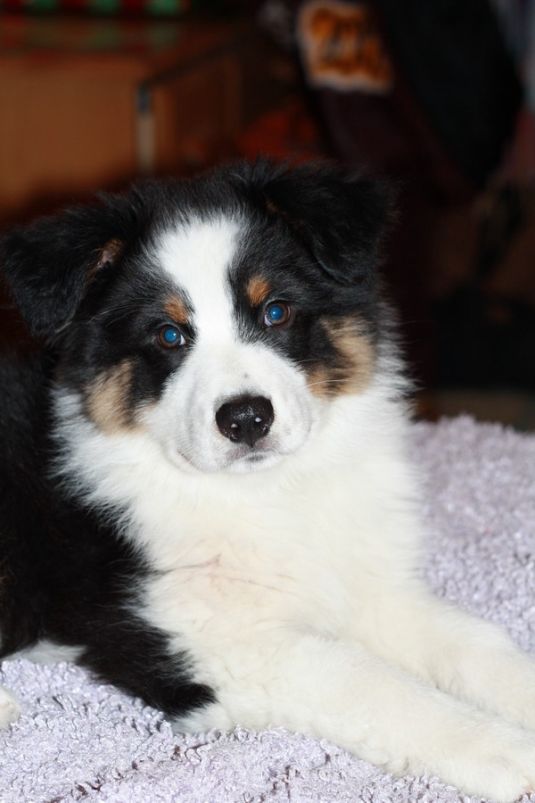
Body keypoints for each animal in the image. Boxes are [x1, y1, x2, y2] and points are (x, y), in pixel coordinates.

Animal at [0, 160, 535, 800]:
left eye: (275, 311)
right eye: (169, 335)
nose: (246, 419)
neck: (270, 493)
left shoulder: (367, 586)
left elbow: (475, 644)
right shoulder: (207, 642)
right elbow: (370, 682)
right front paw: (502, 750)